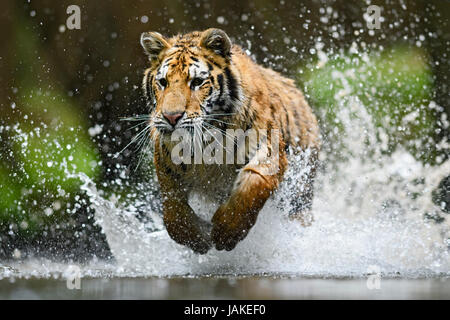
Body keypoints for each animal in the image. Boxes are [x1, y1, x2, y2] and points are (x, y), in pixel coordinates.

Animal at [141, 28, 320, 255]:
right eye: (163, 82)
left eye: (197, 82)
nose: (171, 117)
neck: (204, 142)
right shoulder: (165, 160)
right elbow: (173, 214)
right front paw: (198, 239)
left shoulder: (270, 149)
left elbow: (253, 185)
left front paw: (225, 232)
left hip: (301, 194)